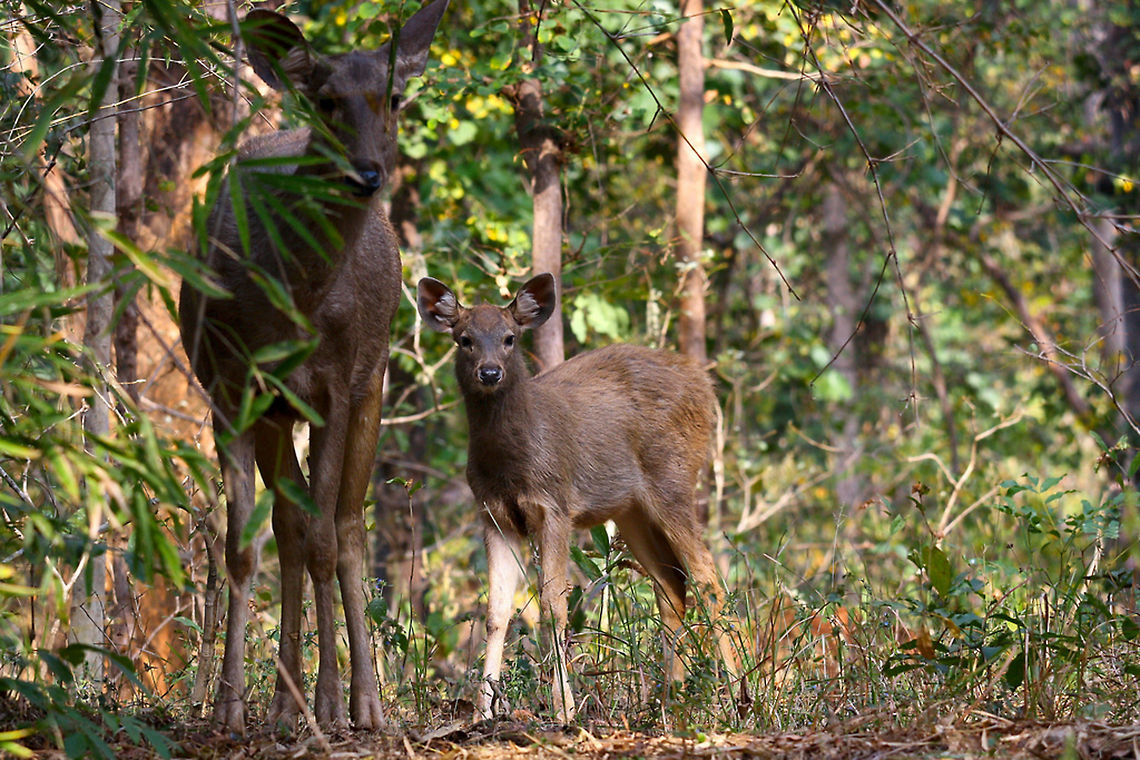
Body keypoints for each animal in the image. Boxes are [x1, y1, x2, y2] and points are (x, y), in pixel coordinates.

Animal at [178, 0, 448, 733]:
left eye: (393, 97)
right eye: (327, 100)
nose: (367, 172)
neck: (293, 298)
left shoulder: (335, 385)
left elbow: (330, 540)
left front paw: (331, 705)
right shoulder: (230, 389)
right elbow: (244, 546)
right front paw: (229, 708)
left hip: (373, 381)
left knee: (347, 528)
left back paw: (364, 706)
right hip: (277, 411)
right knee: (291, 526)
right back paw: (282, 703)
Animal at [416, 273, 739, 723]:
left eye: (510, 337)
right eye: (464, 339)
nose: (490, 372)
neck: (509, 462)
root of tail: (706, 387)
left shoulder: (555, 506)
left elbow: (554, 607)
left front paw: (565, 711)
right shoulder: (494, 515)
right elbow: (496, 611)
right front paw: (483, 712)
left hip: (673, 481)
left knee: (708, 578)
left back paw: (738, 697)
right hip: (632, 509)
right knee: (672, 583)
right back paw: (666, 705)